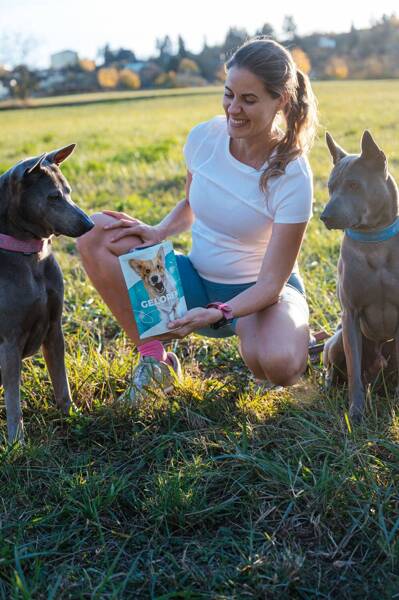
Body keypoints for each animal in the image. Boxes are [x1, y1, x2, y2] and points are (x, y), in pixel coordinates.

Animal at [0, 145, 93, 440]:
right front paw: (17, 442)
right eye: (53, 196)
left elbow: (61, 381)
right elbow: (13, 400)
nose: (89, 224)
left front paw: (73, 416)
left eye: (68, 190)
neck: (30, 256)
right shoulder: (9, 342)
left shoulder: (54, 328)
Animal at [322, 130, 399, 422]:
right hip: (335, 342)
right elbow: (354, 370)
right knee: (342, 368)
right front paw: (356, 412)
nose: (324, 216)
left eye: (354, 185)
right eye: (330, 187)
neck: (373, 241)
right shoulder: (351, 315)